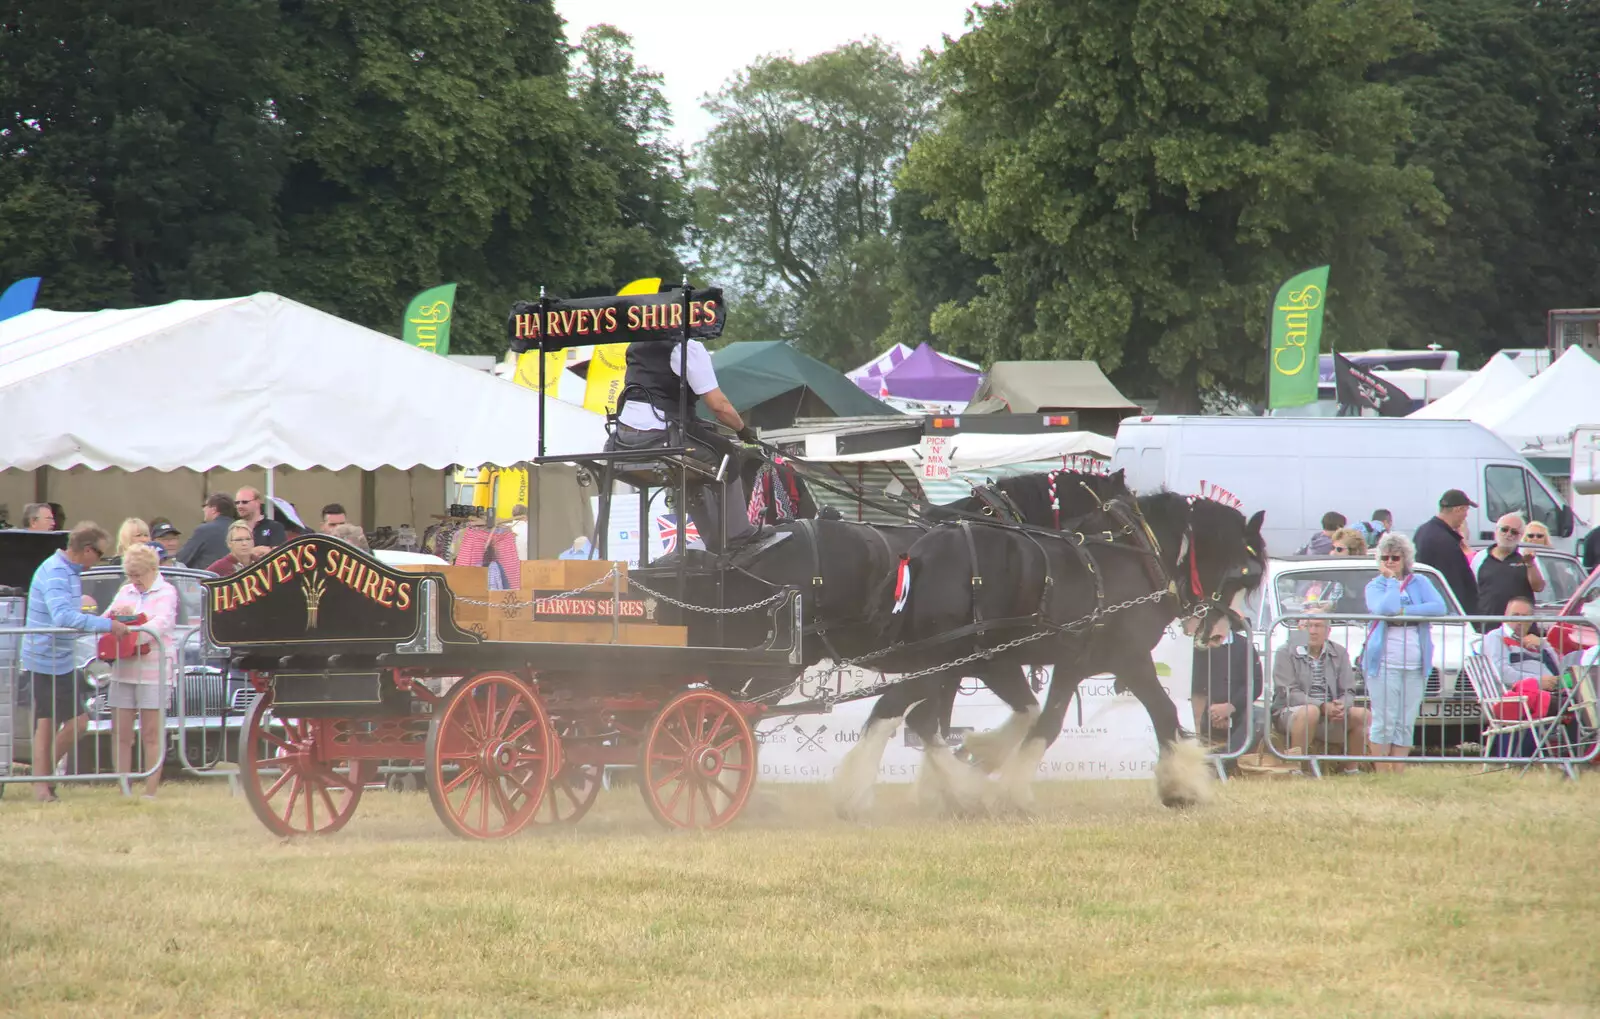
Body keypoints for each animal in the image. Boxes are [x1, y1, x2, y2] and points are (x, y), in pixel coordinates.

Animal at [832, 492, 1267, 819]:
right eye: (1242, 574)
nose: (1220, 633)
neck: (1135, 558)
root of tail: (919, 553)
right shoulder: (1131, 657)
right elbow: (1165, 713)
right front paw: (1182, 788)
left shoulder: (1070, 664)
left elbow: (1045, 720)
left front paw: (995, 769)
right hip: (938, 658)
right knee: (895, 712)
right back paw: (862, 795)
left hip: (950, 661)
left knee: (915, 717)